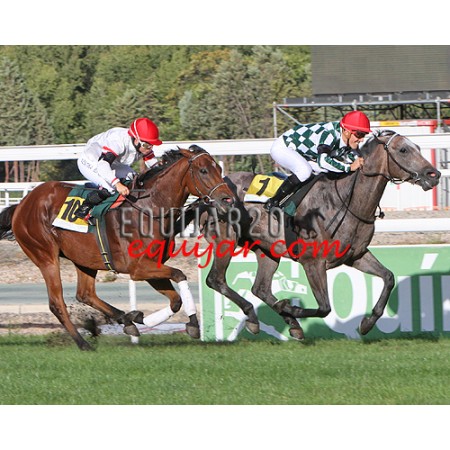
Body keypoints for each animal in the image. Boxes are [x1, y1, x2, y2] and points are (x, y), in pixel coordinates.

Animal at [0, 146, 235, 350]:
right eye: (203, 170)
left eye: (218, 168)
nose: (227, 199)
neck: (149, 209)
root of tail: (21, 205)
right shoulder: (138, 269)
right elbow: (179, 275)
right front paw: (192, 324)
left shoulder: (152, 266)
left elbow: (175, 300)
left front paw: (141, 318)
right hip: (45, 256)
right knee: (57, 303)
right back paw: (83, 343)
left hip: (84, 259)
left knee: (85, 294)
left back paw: (126, 319)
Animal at [192, 130, 441, 339]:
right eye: (403, 150)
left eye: (418, 147)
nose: (434, 174)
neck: (348, 202)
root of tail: (208, 194)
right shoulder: (313, 262)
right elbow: (324, 308)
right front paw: (289, 306)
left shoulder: (356, 255)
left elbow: (388, 277)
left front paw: (367, 323)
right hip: (226, 241)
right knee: (216, 279)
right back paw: (255, 317)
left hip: (267, 250)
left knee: (260, 288)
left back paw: (289, 323)